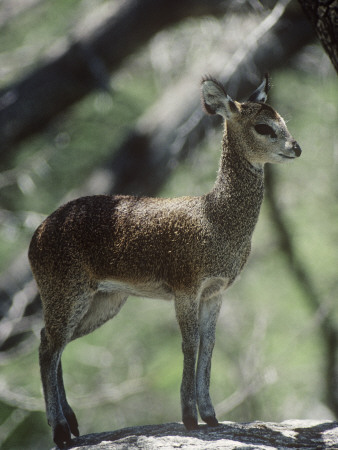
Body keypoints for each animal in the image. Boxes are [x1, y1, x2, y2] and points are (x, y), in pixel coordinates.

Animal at [27, 74, 300, 446]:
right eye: (263, 125)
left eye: (282, 119)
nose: (296, 147)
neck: (215, 217)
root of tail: (37, 234)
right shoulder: (185, 288)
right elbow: (190, 343)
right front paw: (189, 418)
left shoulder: (215, 292)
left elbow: (209, 343)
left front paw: (211, 416)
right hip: (66, 293)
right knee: (47, 347)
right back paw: (60, 432)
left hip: (103, 301)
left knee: (53, 343)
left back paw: (72, 424)